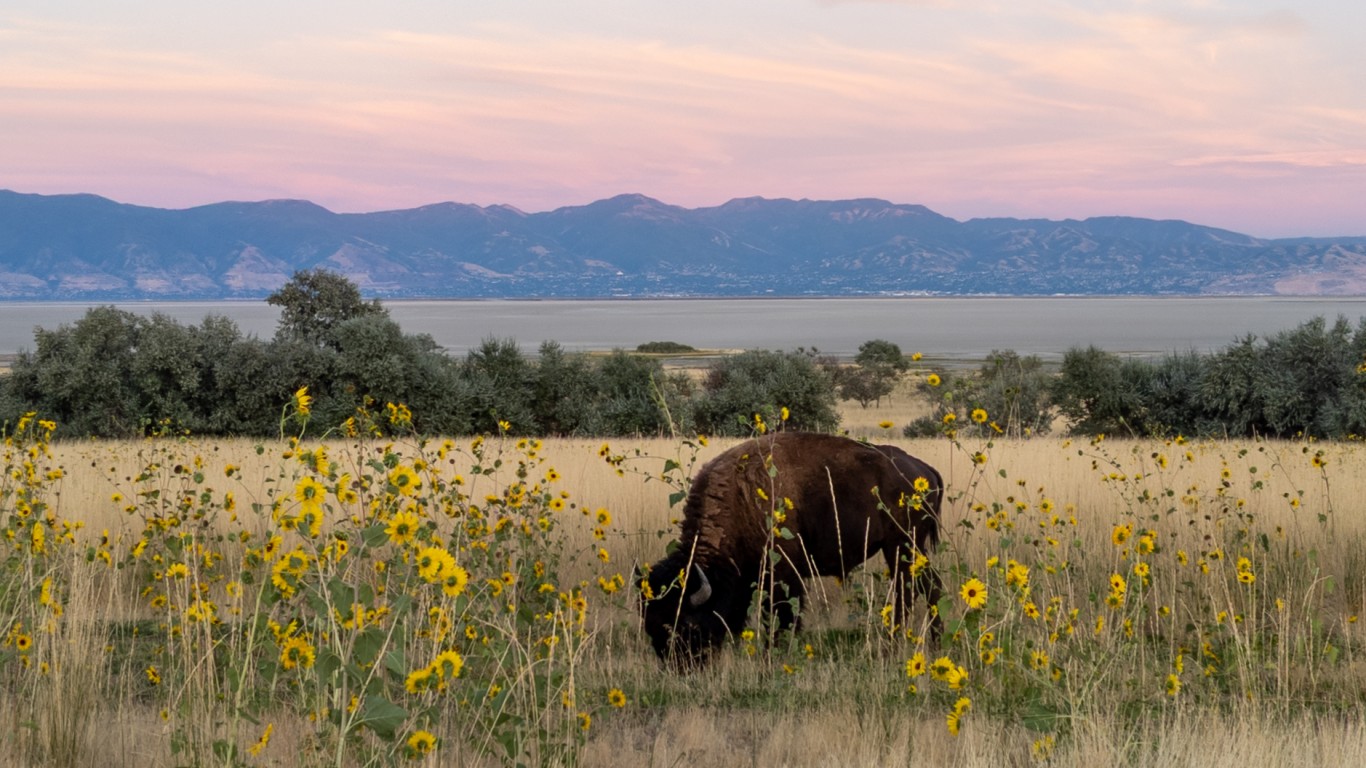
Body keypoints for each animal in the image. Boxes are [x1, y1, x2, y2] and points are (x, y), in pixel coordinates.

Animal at [636, 431, 939, 669]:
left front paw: (773, 654)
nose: (680, 667)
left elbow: (783, 614)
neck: (741, 498)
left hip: (902, 546)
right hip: (908, 549)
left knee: (910, 590)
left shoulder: (784, 574)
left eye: (687, 624)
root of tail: (924, 470)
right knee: (926, 587)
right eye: (650, 623)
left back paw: (894, 644)